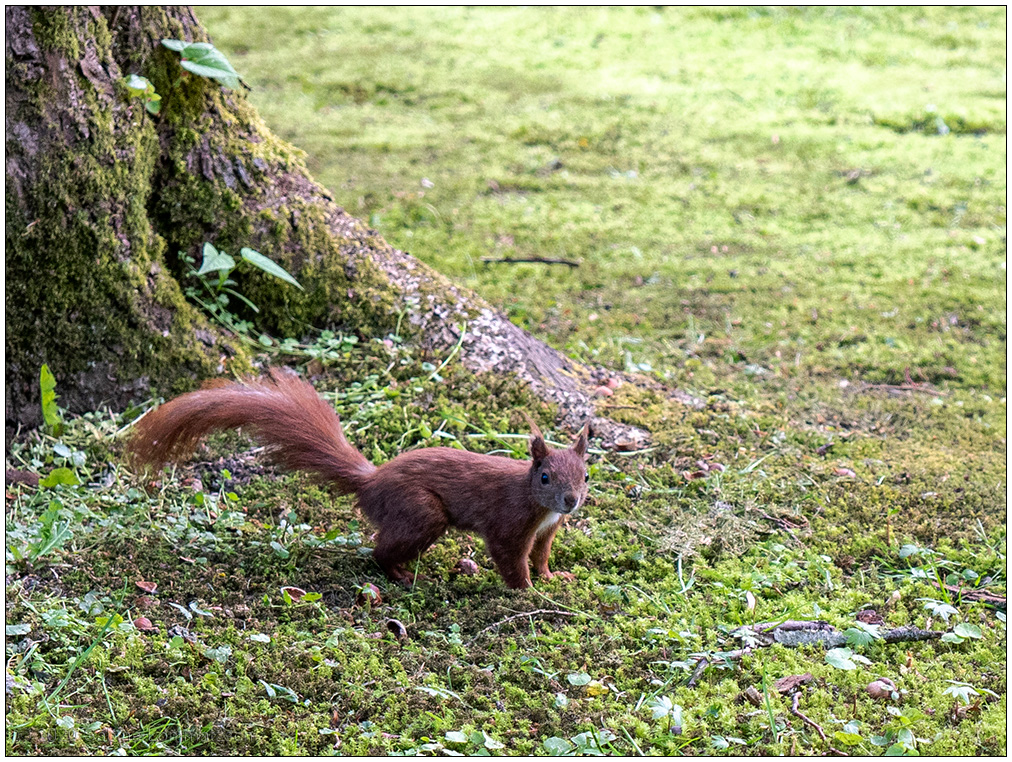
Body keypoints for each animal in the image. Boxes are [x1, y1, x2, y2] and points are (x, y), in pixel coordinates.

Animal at [128, 369, 590, 589]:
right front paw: (528, 592)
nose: (571, 501)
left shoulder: (547, 530)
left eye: (586, 475)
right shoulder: (509, 523)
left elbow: (541, 555)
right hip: (421, 511)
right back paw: (401, 574)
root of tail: (371, 482)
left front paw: (553, 578)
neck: (537, 506)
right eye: (545, 477)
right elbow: (511, 559)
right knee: (378, 552)